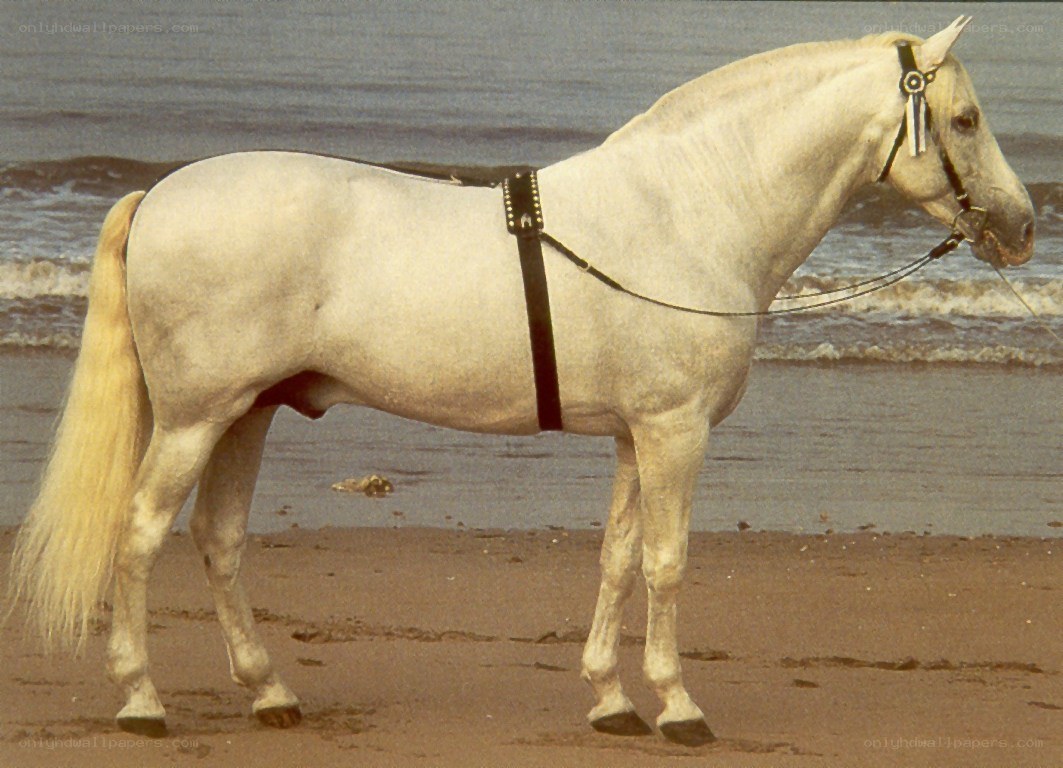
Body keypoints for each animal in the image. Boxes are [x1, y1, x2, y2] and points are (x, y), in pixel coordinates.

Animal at [8, 17, 1034, 746]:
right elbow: (666, 563)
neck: (689, 210)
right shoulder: (675, 431)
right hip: (194, 419)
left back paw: (270, 694)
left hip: (247, 413)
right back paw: (142, 700)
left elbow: (617, 558)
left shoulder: (634, 434)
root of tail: (160, 193)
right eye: (965, 119)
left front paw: (611, 702)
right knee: (141, 535)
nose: (1022, 227)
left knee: (218, 541)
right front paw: (677, 707)